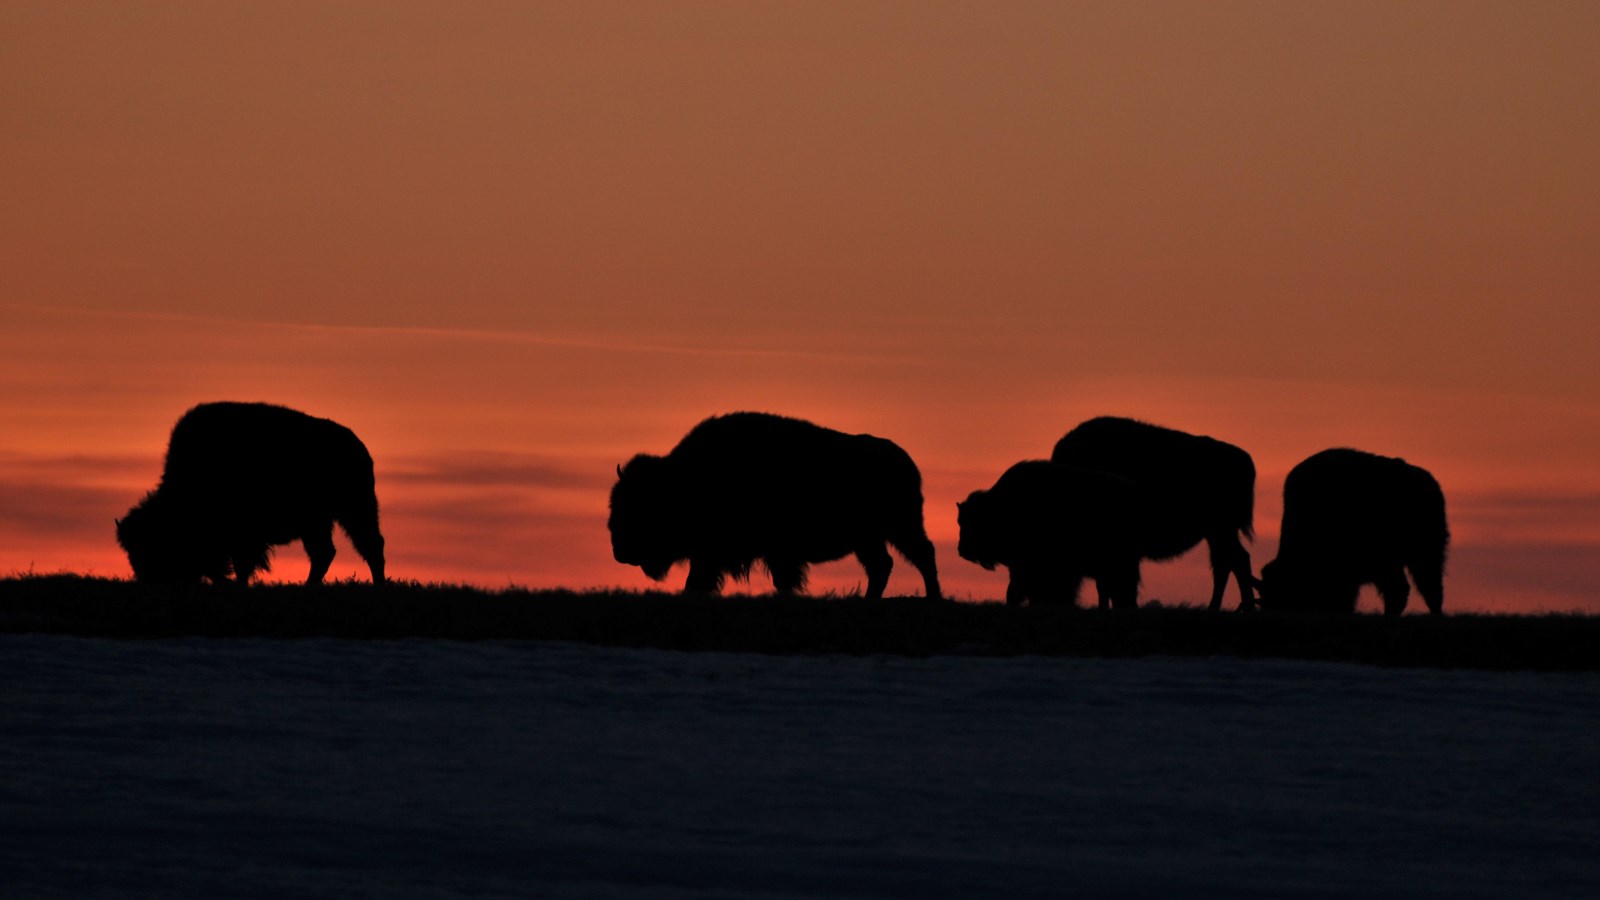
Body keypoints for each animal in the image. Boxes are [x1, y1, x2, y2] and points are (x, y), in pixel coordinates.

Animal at [117, 402, 386, 585]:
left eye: (153, 547)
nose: (151, 581)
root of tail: (359, 448)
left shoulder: (243, 537)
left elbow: (241, 564)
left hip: (353, 511)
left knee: (369, 546)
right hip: (319, 522)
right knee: (326, 552)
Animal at [608, 412, 942, 598]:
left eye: (638, 507)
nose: (619, 552)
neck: (682, 480)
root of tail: (905, 462)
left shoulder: (746, 552)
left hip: (900, 528)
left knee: (921, 555)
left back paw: (933, 597)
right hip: (870, 539)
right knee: (883, 565)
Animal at [1051, 416, 1257, 611]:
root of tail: (1245, 459)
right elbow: (1104, 586)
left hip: (1221, 531)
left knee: (1234, 562)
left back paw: (1235, 607)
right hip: (1217, 534)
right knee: (1229, 562)